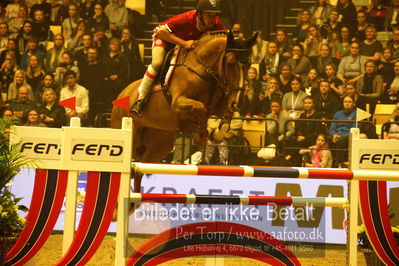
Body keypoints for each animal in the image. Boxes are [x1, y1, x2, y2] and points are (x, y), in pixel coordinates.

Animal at [111, 30, 256, 191]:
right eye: (230, 63)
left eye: (249, 64)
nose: (238, 101)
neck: (202, 68)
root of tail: (122, 94)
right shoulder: (178, 102)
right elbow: (201, 109)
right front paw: (200, 137)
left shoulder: (219, 105)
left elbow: (226, 112)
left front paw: (218, 133)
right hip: (131, 134)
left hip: (160, 145)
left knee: (139, 169)